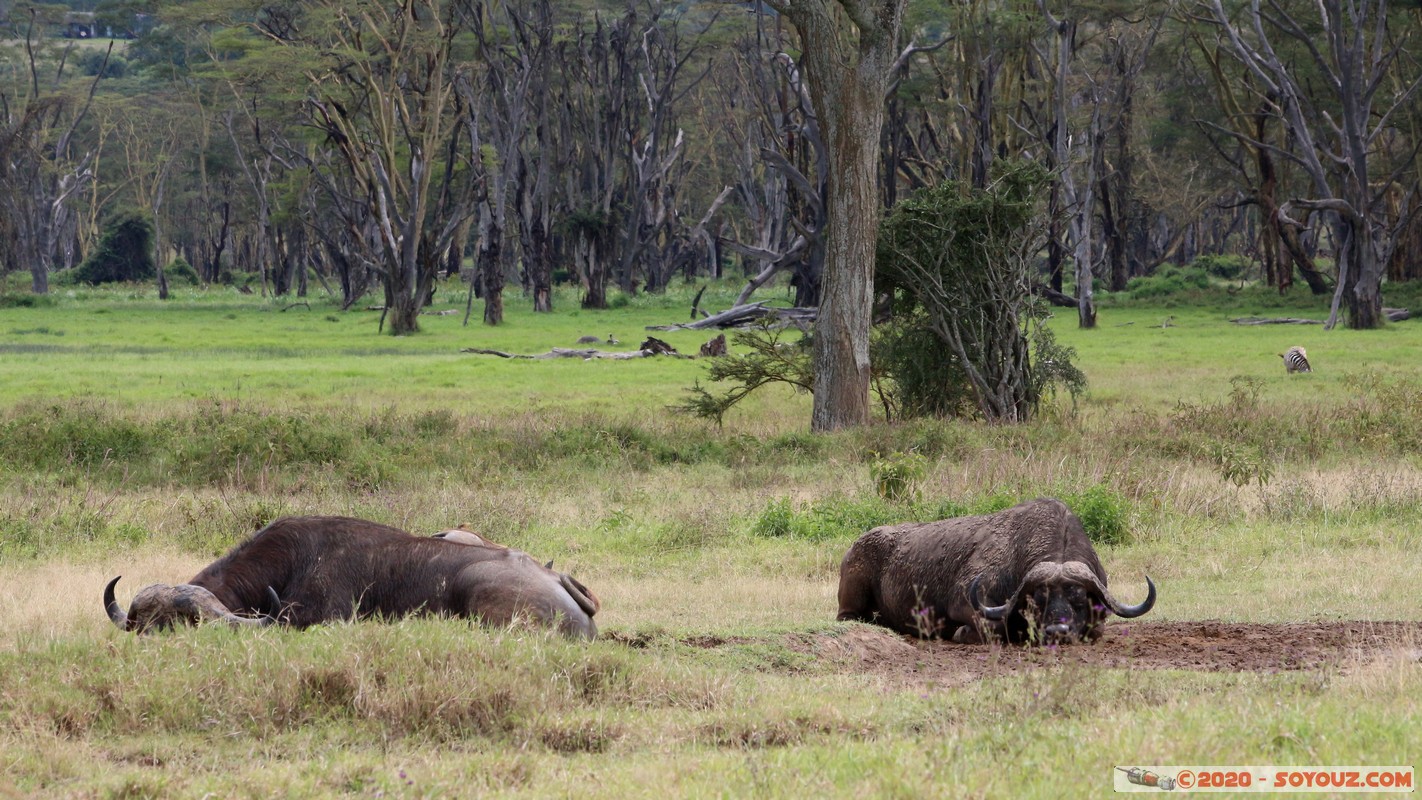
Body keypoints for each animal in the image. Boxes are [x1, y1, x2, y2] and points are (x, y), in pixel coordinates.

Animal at [830, 497, 1154, 647]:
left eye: (1078, 598)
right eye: (1037, 599)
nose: (1057, 632)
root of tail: (854, 548)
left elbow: (1096, 630)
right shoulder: (967, 603)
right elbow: (993, 628)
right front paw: (961, 633)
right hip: (851, 601)